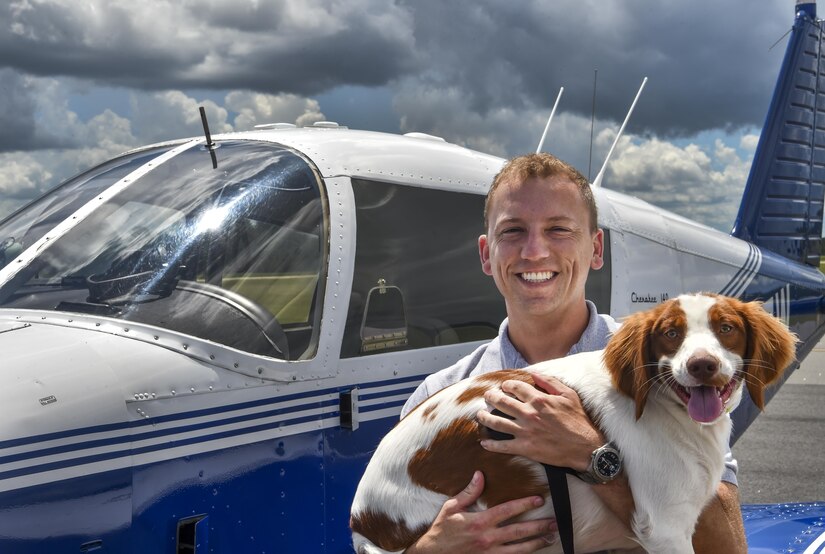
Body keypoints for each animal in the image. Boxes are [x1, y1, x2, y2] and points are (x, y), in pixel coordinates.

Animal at [350, 292, 796, 548]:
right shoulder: (666, 526)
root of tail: (360, 520)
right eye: (671, 334)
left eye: (727, 328)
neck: (662, 404)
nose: (702, 365)